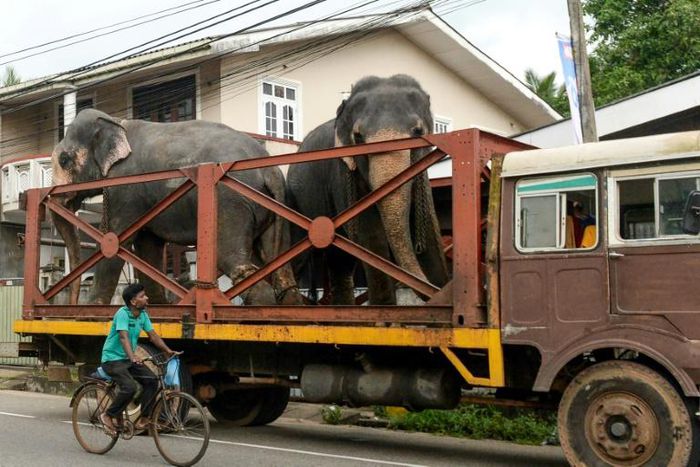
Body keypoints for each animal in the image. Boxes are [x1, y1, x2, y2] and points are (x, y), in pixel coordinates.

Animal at [51, 109, 302, 306]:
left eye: (64, 160)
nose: (72, 303)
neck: (117, 122)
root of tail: (270, 171)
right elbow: (148, 246)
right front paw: (156, 306)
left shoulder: (124, 187)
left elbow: (113, 240)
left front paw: (90, 314)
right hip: (274, 207)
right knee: (278, 266)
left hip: (231, 202)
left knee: (232, 259)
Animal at [286, 74, 448, 305]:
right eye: (358, 137)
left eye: (418, 132)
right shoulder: (342, 173)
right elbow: (371, 234)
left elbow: (428, 226)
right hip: (297, 201)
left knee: (340, 262)